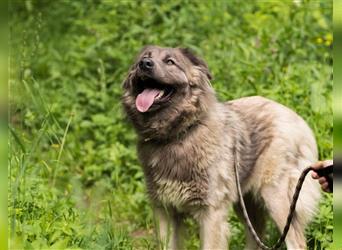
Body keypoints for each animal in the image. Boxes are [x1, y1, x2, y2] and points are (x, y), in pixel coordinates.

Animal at [121, 46, 320, 249]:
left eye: (170, 62)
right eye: (144, 58)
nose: (144, 64)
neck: (178, 134)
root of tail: (296, 118)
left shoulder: (211, 213)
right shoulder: (164, 211)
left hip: (275, 197)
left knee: (296, 241)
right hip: (245, 203)